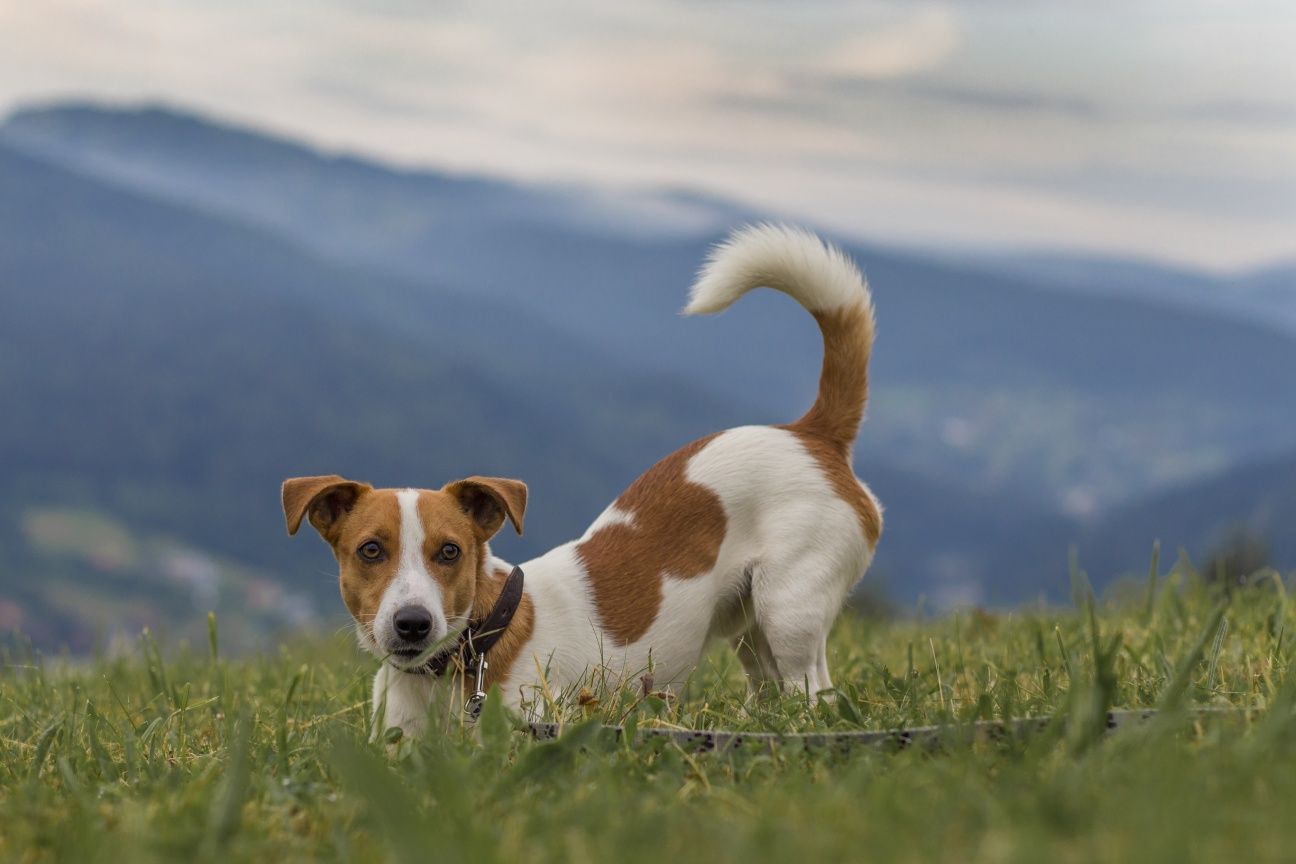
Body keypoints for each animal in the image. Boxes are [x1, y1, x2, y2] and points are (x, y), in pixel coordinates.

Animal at [282, 226, 881, 740]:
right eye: (370, 550)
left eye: (450, 551)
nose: (412, 623)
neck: (472, 651)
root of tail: (812, 434)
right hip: (749, 623)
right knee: (770, 685)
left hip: (790, 606)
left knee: (813, 690)